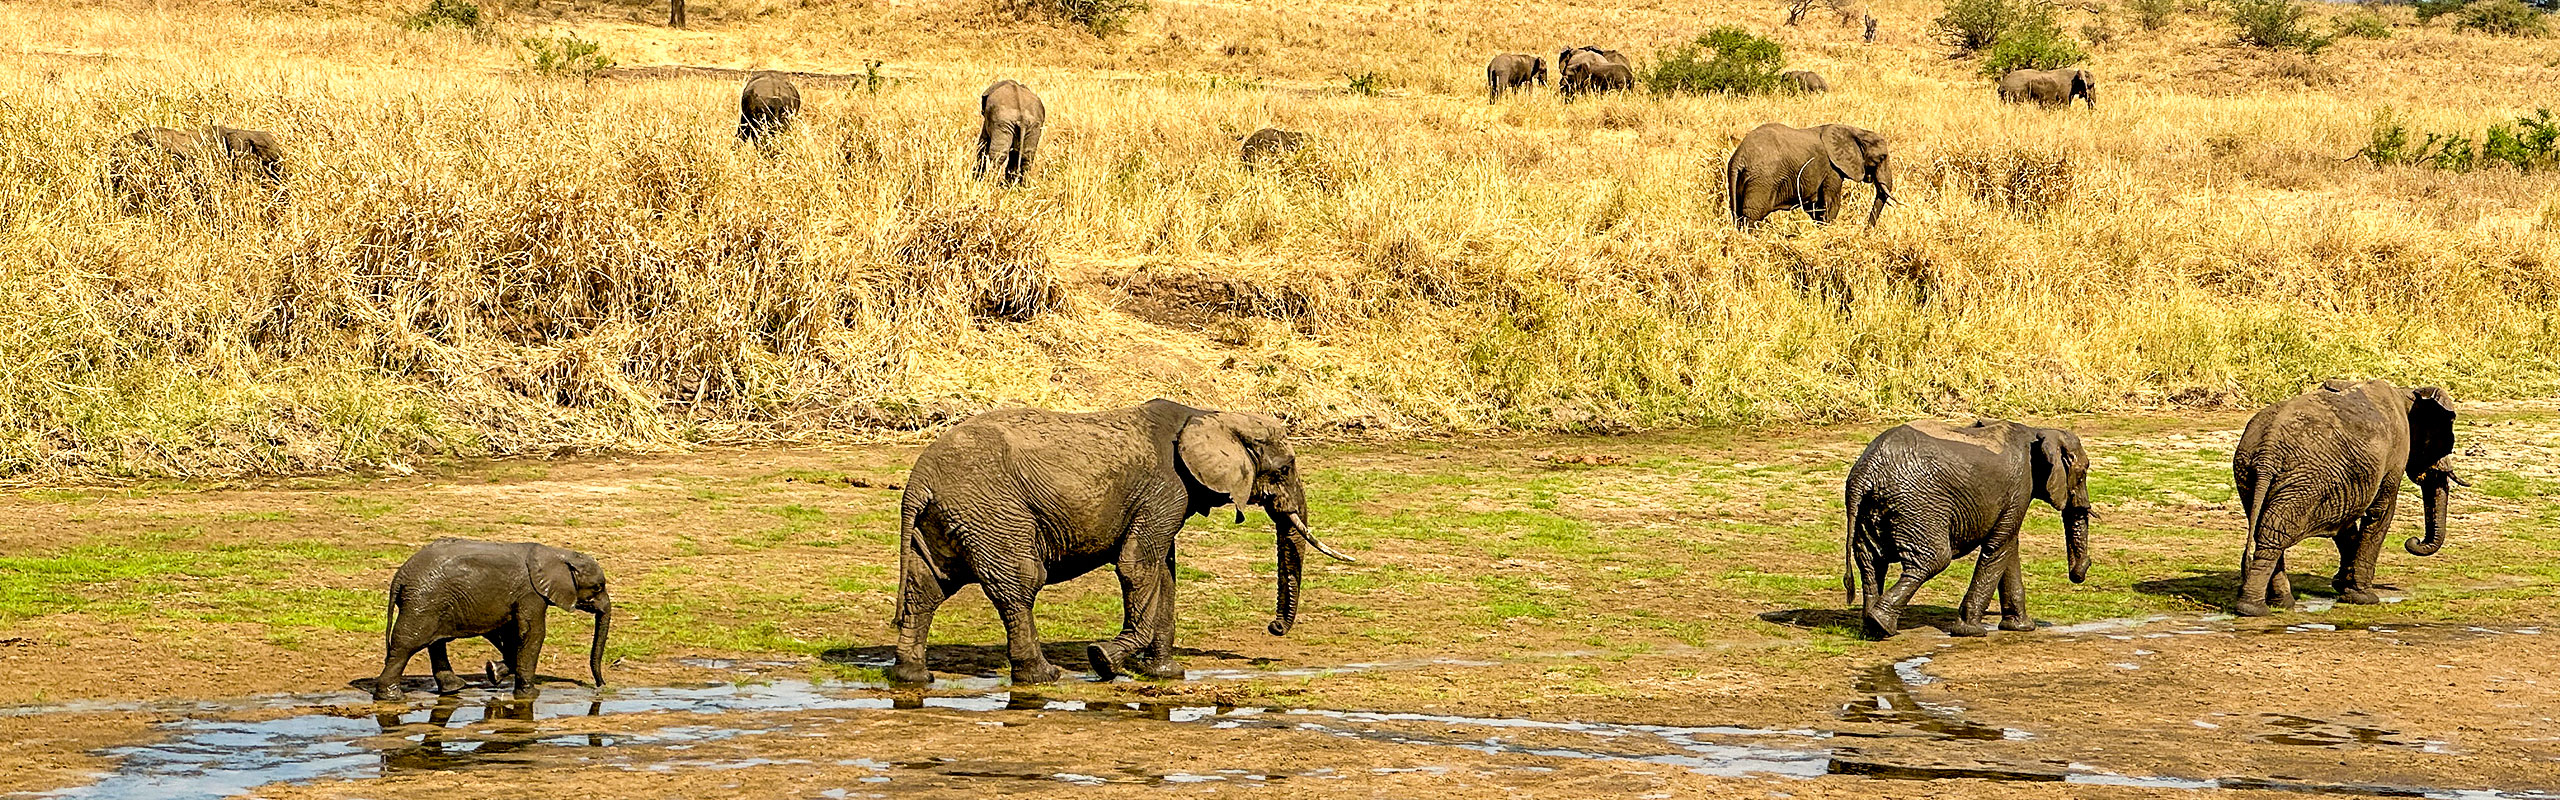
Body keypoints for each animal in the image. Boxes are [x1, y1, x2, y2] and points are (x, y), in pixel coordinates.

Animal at [373, 538, 609, 697]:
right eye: (598, 587)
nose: (601, 686)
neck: (557, 554)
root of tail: (400, 576)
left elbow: (511, 635)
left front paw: (492, 672)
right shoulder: (531, 594)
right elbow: (532, 633)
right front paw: (529, 695)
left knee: (435, 643)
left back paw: (454, 688)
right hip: (424, 600)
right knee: (406, 645)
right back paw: (391, 696)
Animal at [890, 400, 1361, 687]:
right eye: (1284, 469)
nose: (1274, 629)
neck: (1210, 415)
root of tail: (919, 480)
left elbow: (1165, 575)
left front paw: (1165, 673)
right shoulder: (1165, 489)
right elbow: (1138, 565)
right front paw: (1104, 658)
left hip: (946, 519)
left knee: (925, 588)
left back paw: (914, 678)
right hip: (992, 512)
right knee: (1020, 584)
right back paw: (1043, 677)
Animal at [1720, 121, 1904, 228]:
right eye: (1882, 157)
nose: (1865, 231)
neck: (1855, 131)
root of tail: (1739, 157)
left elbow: (1815, 207)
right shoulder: (1832, 169)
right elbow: (1831, 204)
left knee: (1737, 212)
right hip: (1762, 179)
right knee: (1752, 214)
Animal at [1853, 417, 2088, 638]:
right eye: (2083, 473)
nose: (2078, 574)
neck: (2038, 431)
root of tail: (1868, 470)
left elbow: (2009, 547)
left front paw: (2021, 628)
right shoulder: (2021, 484)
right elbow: (1999, 546)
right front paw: (1971, 631)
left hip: (1870, 508)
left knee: (1870, 560)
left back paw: (1871, 627)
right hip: (1917, 505)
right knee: (1933, 560)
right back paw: (1881, 624)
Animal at [2232, 376, 2467, 615]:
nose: (2414, 540)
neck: (2407, 394)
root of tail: (2266, 453)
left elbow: (2345, 524)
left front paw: (2343, 586)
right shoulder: (2396, 453)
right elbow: (2380, 513)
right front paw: (2364, 597)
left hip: (2250, 473)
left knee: (2268, 529)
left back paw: (2282, 604)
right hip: (2303, 481)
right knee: (2275, 534)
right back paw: (2254, 609)